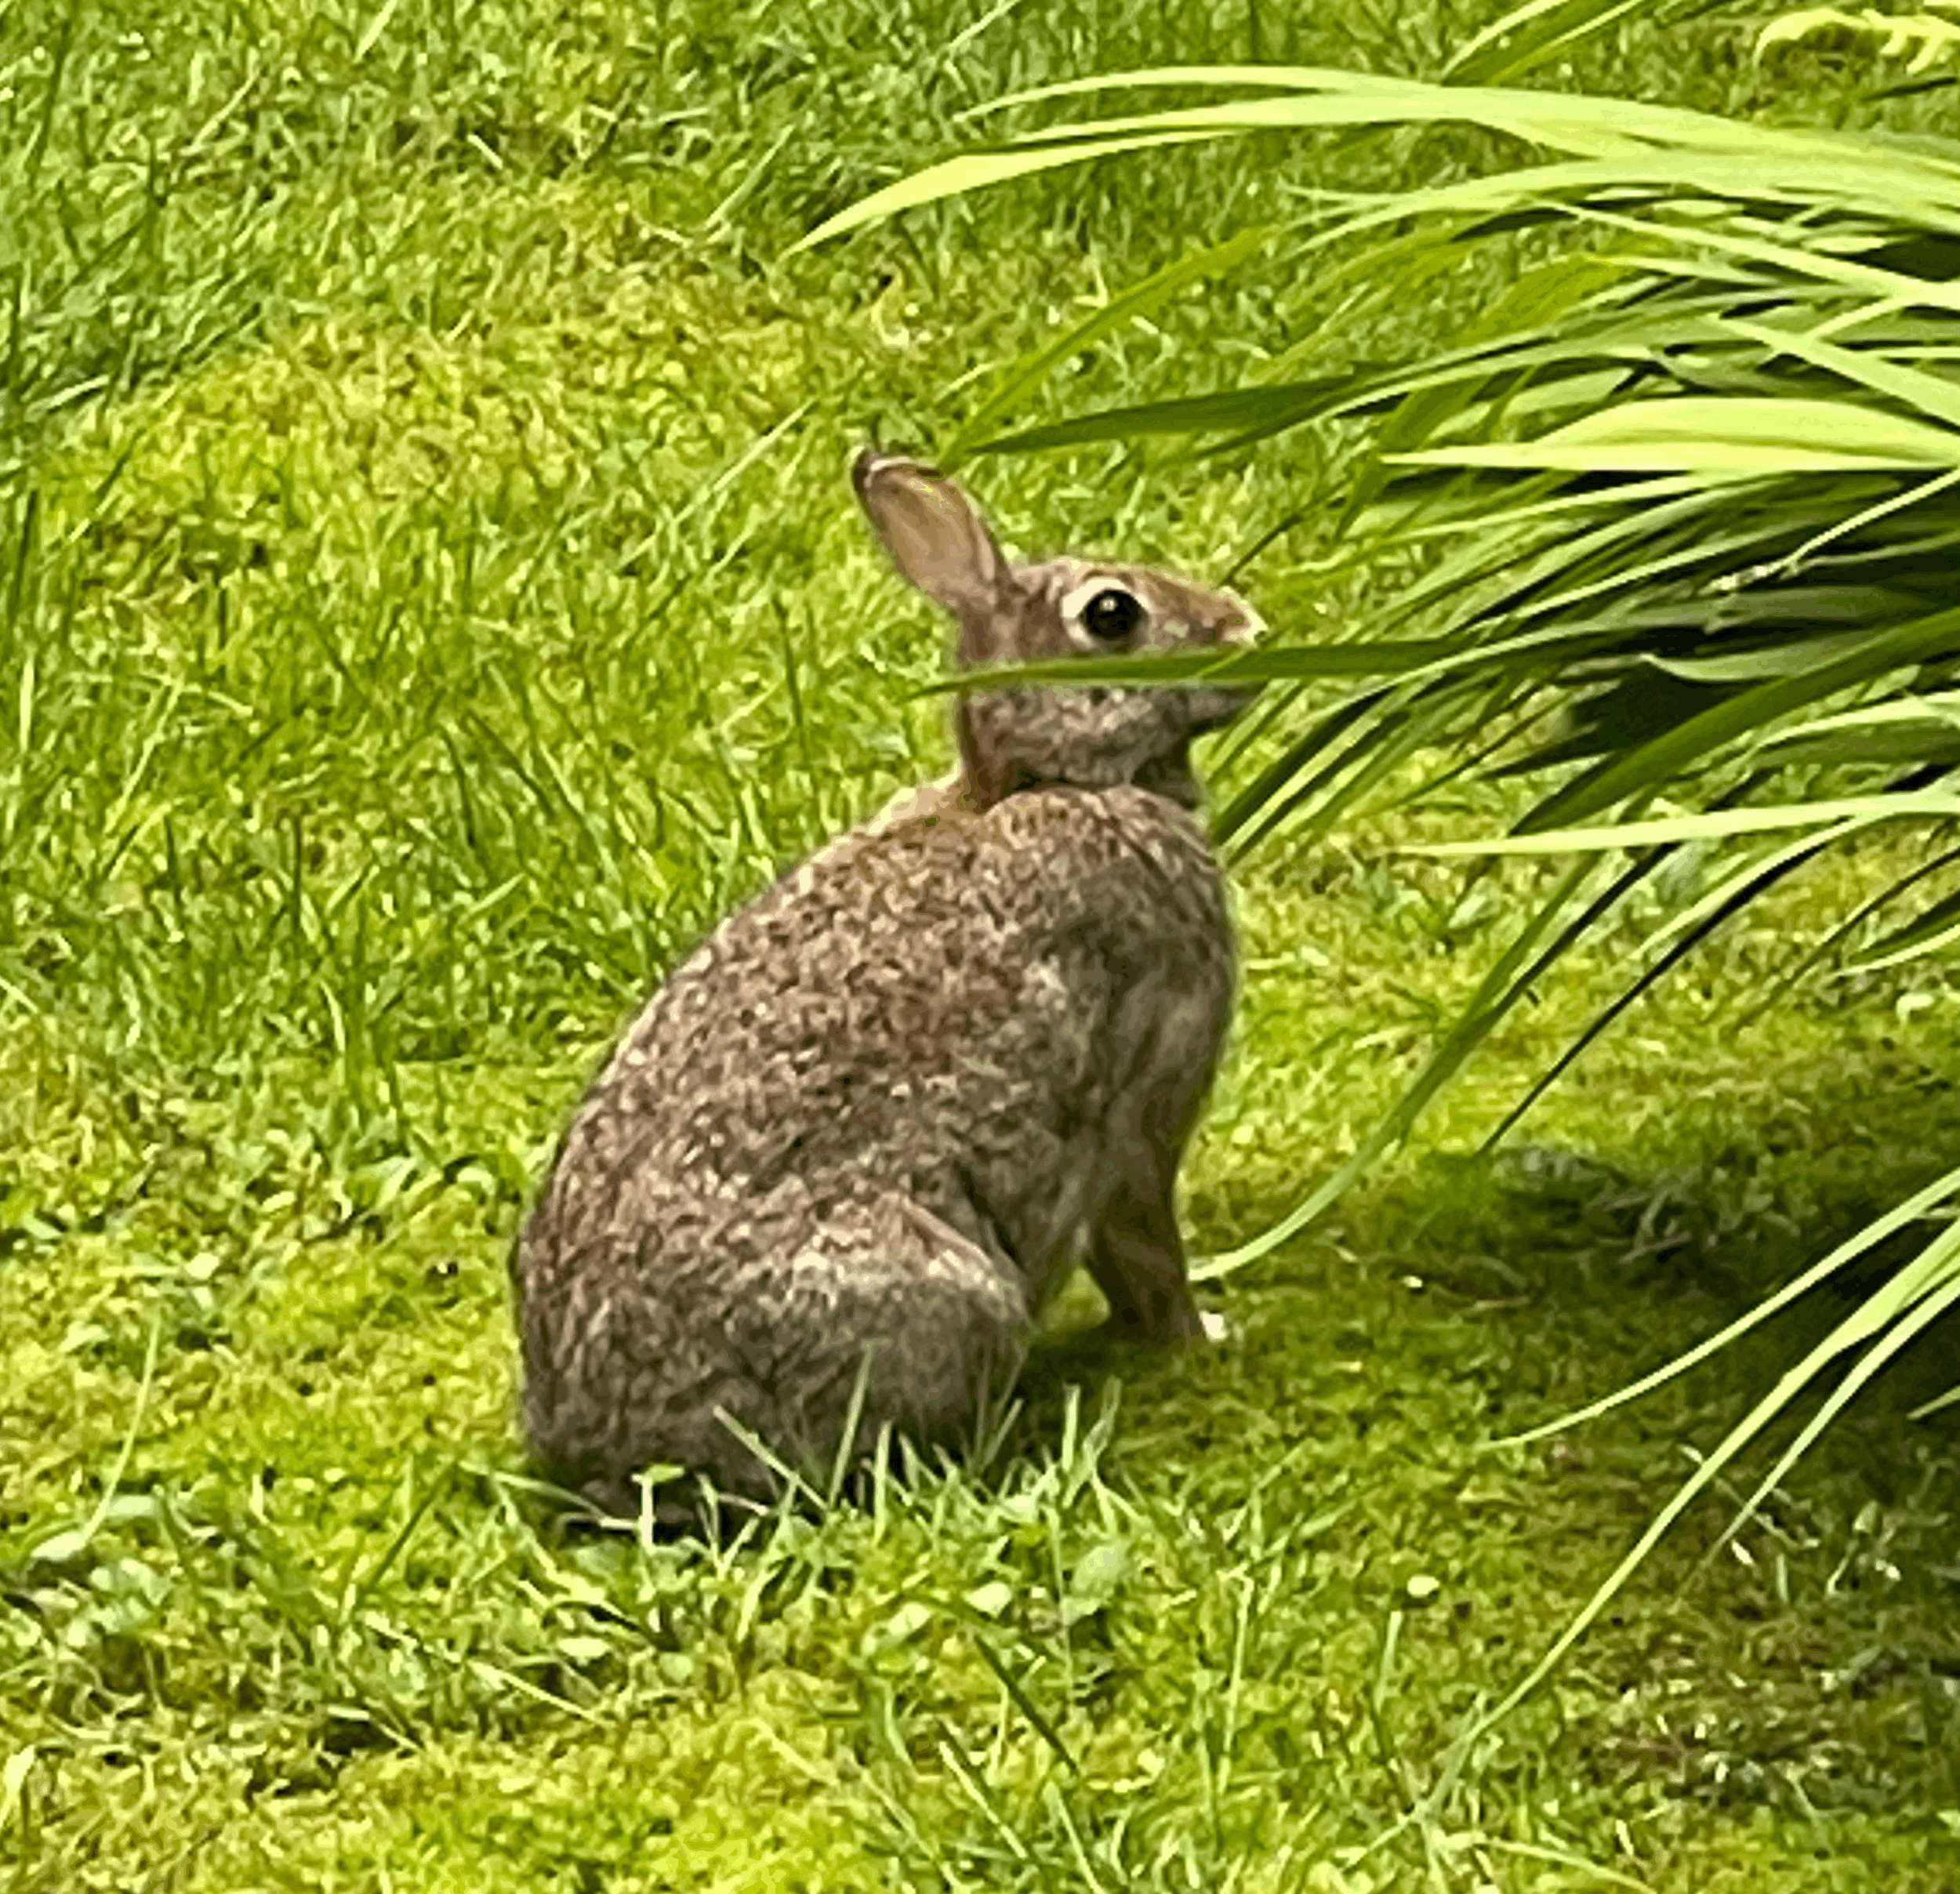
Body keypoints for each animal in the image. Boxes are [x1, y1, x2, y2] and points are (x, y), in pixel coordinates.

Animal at [510, 450, 1261, 1516]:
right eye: (1112, 615)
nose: (1245, 629)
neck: (1043, 782)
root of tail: (606, 1455)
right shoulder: (1141, 1112)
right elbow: (1145, 1244)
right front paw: (1200, 1339)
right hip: (951, 1294)